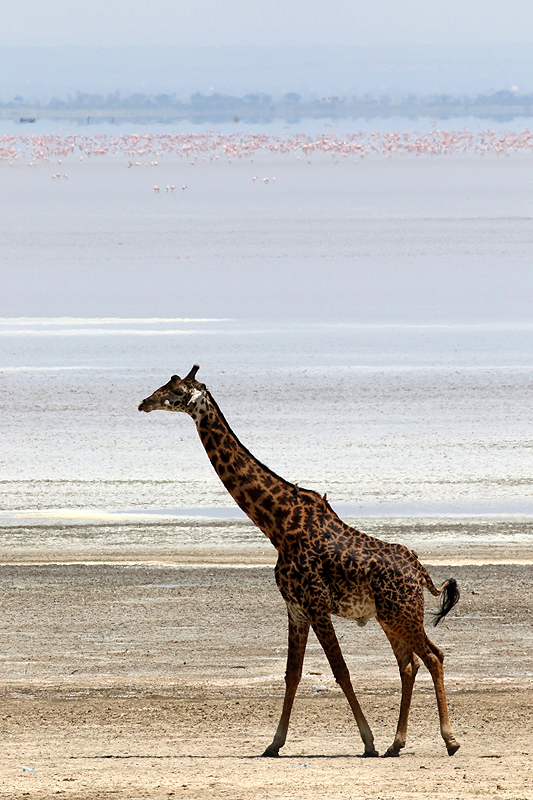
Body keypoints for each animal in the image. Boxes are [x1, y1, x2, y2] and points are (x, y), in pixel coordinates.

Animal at [139, 368, 460, 756]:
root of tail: (420, 572)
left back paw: (449, 739)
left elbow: (340, 670)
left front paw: (367, 740)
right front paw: (274, 743)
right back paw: (396, 743)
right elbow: (292, 674)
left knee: (433, 656)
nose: (144, 402)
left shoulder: (317, 604)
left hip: (403, 613)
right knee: (409, 664)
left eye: (174, 390)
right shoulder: (295, 607)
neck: (276, 524)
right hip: (390, 616)